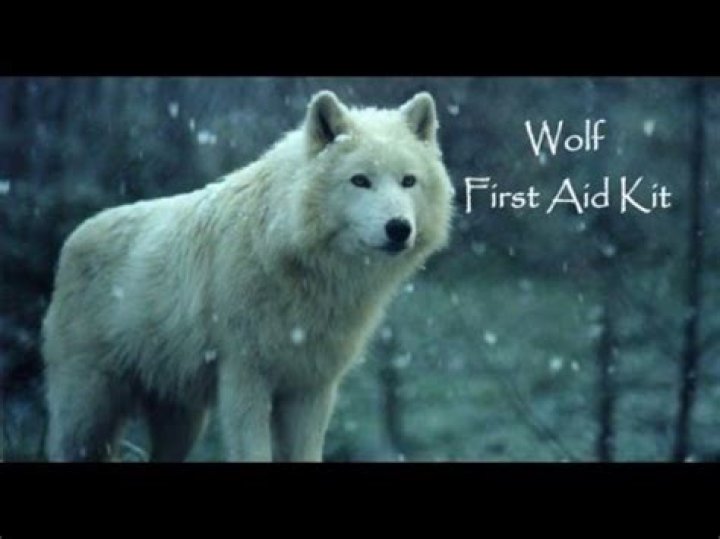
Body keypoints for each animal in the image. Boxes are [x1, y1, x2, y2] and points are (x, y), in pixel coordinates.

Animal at [41, 90, 454, 461]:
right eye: (360, 180)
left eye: (408, 181)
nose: (399, 228)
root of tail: (75, 236)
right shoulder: (244, 378)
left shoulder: (312, 387)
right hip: (89, 411)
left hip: (182, 419)